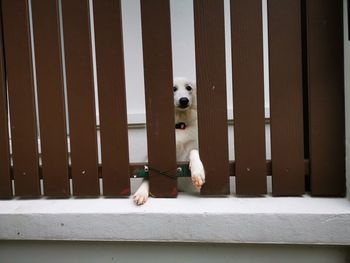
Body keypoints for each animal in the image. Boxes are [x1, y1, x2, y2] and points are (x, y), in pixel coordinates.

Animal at [133, 77, 205, 205]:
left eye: (189, 88)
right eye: (173, 88)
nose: (184, 100)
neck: (179, 124)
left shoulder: (190, 149)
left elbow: (194, 151)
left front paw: (198, 172)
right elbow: (147, 175)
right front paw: (142, 192)